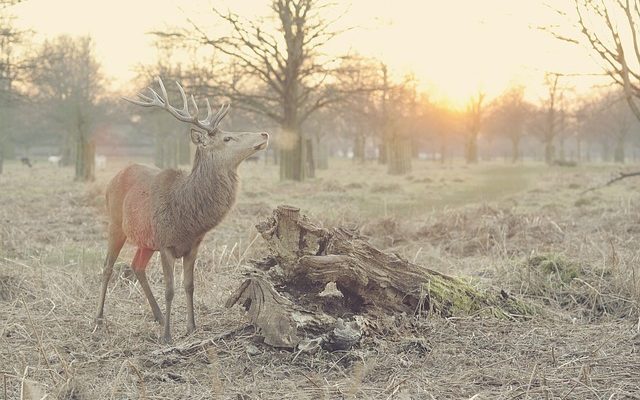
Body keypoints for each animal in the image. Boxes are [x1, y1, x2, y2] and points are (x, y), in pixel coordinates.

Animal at [94, 78, 268, 344]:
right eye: (228, 138)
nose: (264, 133)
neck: (187, 217)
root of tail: (115, 176)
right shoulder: (165, 243)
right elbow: (169, 289)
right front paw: (167, 335)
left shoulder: (193, 244)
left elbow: (189, 285)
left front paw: (191, 327)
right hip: (115, 223)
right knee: (107, 267)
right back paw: (99, 318)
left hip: (146, 240)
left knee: (137, 266)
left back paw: (157, 315)